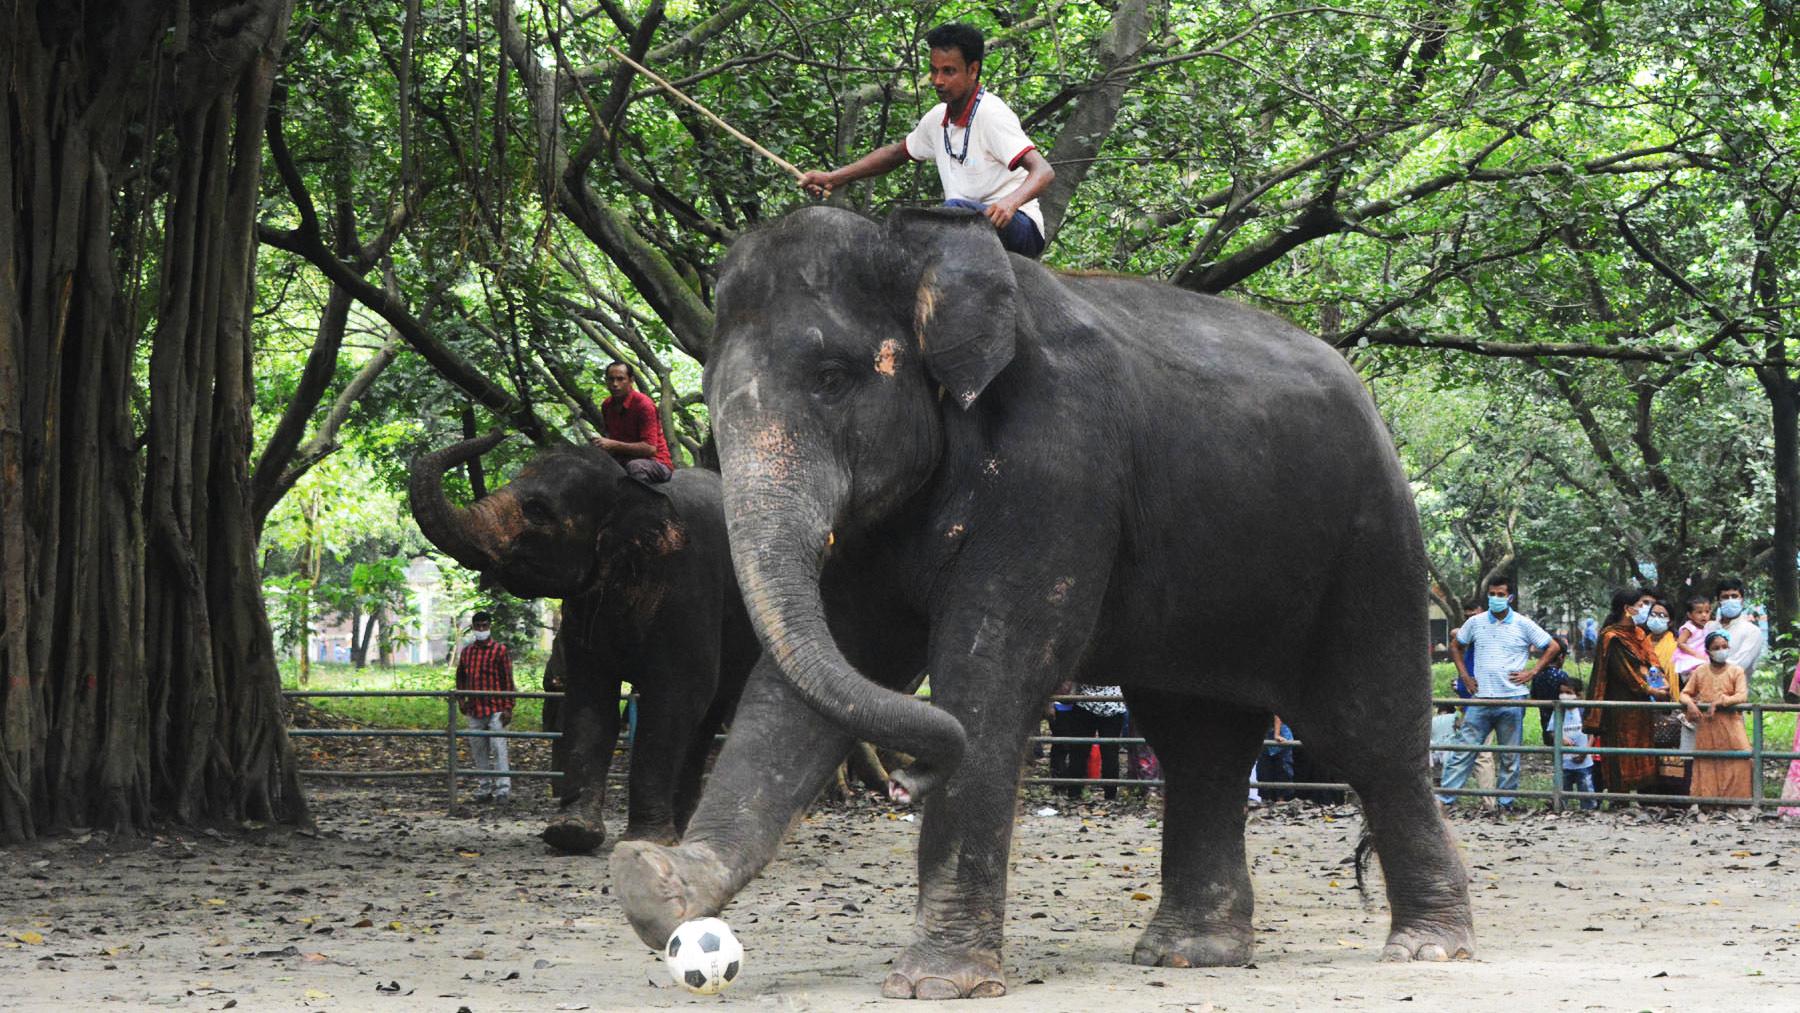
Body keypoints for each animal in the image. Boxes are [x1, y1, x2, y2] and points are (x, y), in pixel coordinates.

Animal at [410, 431, 759, 852]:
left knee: (714, 709)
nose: (497, 432)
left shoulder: (689, 586)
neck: (627, 487)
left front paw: (646, 841)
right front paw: (571, 833)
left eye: (537, 511)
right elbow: (591, 697)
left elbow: (675, 696)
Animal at [612, 206, 1468, 1000]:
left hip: (1375, 543)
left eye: (830, 376)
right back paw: (1190, 954)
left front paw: (937, 983)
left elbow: (992, 669)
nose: (902, 780)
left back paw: (1426, 949)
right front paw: (652, 885)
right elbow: (809, 679)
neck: (917, 248)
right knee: (1200, 741)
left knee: (1367, 732)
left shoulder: (1058, 461)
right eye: (709, 397)